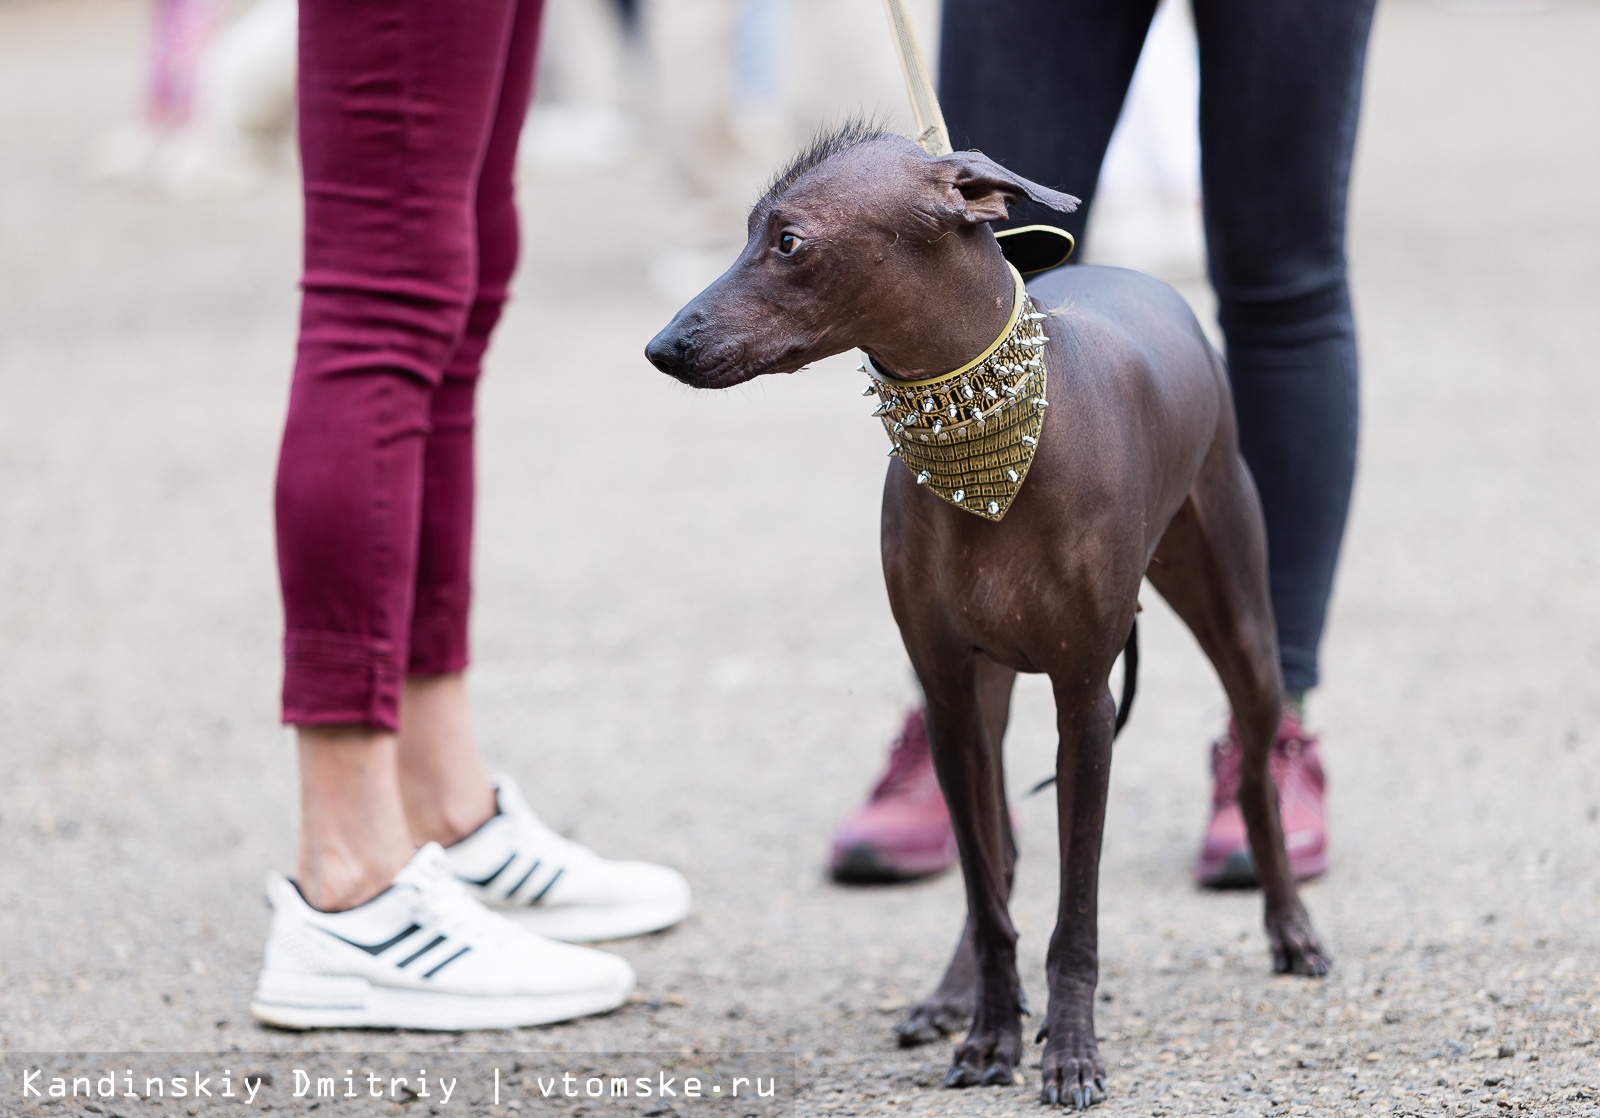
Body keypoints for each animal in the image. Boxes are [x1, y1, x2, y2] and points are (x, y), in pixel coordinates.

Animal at [643, 128, 1331, 1113]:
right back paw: (949, 993)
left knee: (1255, 778)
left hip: (1241, 619)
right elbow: (986, 887)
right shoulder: (948, 696)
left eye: (789, 241)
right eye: (746, 232)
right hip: (993, 690)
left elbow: (1074, 912)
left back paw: (1290, 926)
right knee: (994, 862)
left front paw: (1071, 1050)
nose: (662, 346)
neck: (997, 454)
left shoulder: (1084, 702)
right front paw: (989, 1031)